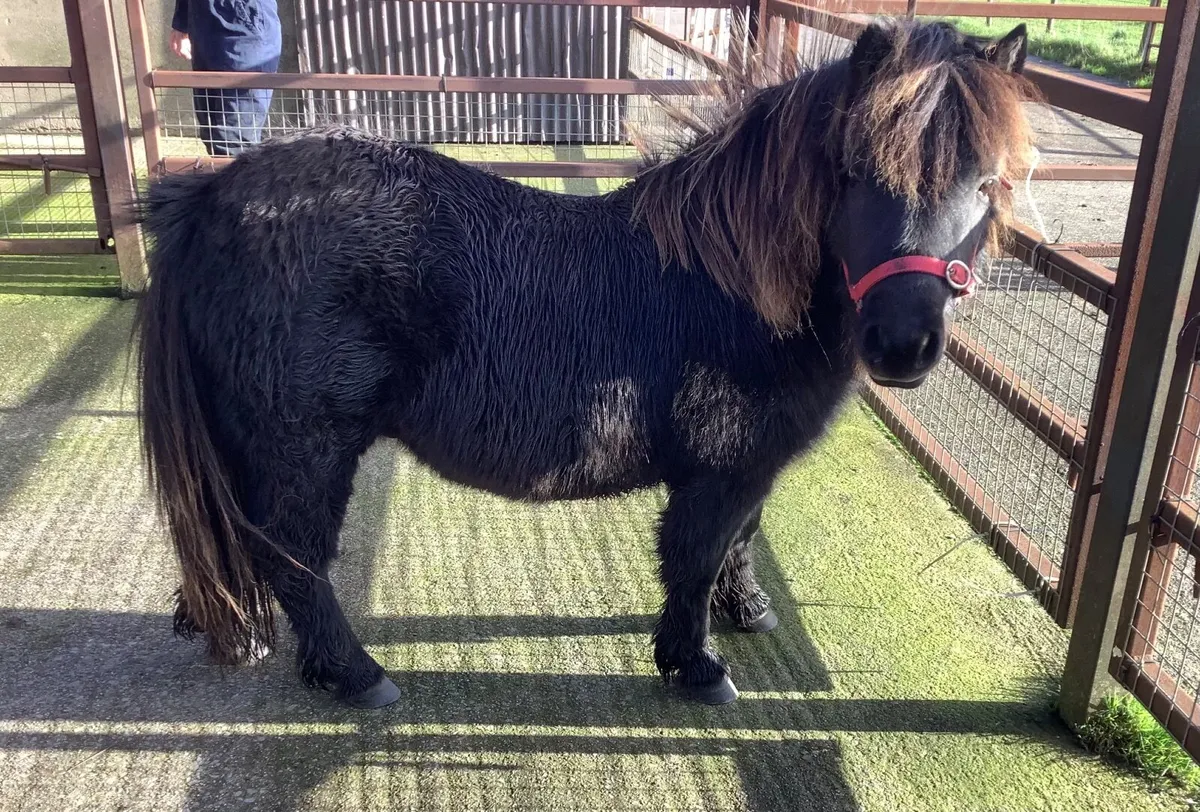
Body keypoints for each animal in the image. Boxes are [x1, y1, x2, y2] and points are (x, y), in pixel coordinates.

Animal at [135, 19, 1036, 709]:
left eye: (988, 182)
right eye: (854, 174)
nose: (903, 345)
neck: (730, 286)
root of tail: (211, 197)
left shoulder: (752, 466)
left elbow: (740, 539)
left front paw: (745, 609)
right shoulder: (719, 468)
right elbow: (694, 555)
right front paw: (695, 665)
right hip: (305, 448)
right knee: (294, 560)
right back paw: (357, 677)